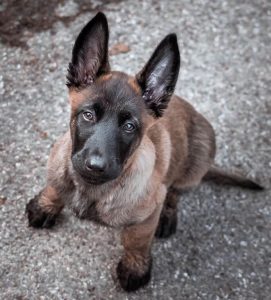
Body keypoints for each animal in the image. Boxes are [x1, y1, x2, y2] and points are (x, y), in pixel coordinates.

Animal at [26, 12, 264, 292]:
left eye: (129, 127)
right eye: (88, 115)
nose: (95, 165)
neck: (91, 189)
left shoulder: (145, 216)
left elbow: (136, 242)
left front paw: (135, 268)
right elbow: (55, 185)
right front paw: (45, 205)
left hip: (195, 165)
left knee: (175, 192)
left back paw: (168, 216)